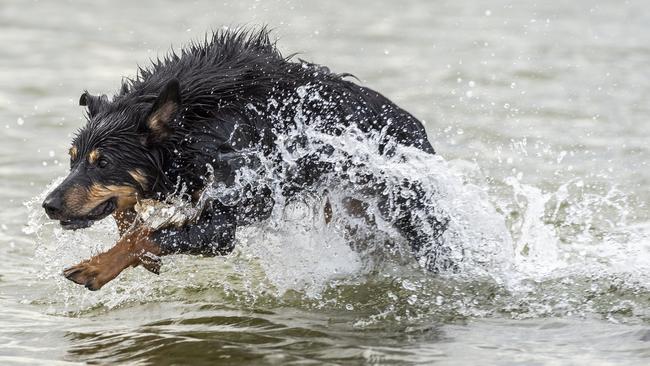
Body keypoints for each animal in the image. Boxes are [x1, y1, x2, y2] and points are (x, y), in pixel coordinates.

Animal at [40, 27, 446, 292]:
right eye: (73, 160)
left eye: (103, 162)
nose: (49, 205)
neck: (196, 123)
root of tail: (418, 131)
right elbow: (134, 223)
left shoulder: (227, 217)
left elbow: (147, 237)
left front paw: (95, 267)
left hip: (413, 213)